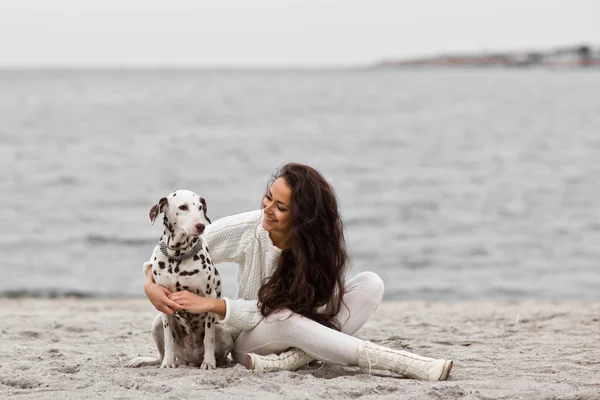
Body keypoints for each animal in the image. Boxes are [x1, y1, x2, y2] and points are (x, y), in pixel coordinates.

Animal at [127, 189, 233, 370]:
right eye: (183, 207)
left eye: (200, 207)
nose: (201, 226)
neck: (178, 257)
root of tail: (190, 359)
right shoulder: (164, 302)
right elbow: (168, 337)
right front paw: (168, 362)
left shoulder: (210, 297)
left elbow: (209, 338)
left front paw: (209, 362)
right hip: (156, 324)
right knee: (160, 355)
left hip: (225, 332)